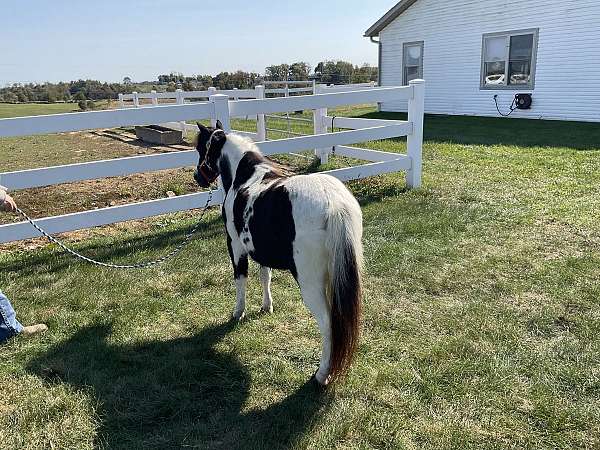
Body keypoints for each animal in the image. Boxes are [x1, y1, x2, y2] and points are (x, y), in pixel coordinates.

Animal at [195, 123, 364, 386]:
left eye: (201, 148)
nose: (197, 177)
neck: (245, 176)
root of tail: (334, 204)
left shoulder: (236, 246)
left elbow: (240, 280)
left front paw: (238, 313)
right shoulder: (259, 249)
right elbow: (265, 277)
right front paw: (267, 306)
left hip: (311, 284)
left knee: (328, 324)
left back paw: (322, 374)